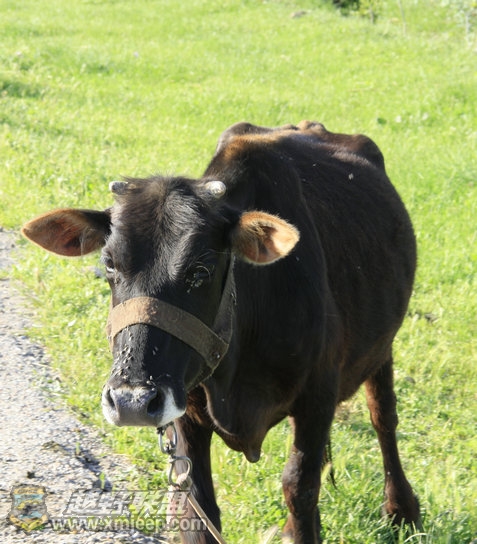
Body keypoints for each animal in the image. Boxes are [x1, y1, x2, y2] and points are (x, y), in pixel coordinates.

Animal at [22, 121, 420, 543]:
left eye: (201, 270)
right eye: (110, 263)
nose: (132, 401)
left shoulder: (318, 397)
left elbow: (299, 487)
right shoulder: (185, 410)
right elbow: (198, 506)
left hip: (382, 347)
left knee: (383, 416)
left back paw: (403, 510)